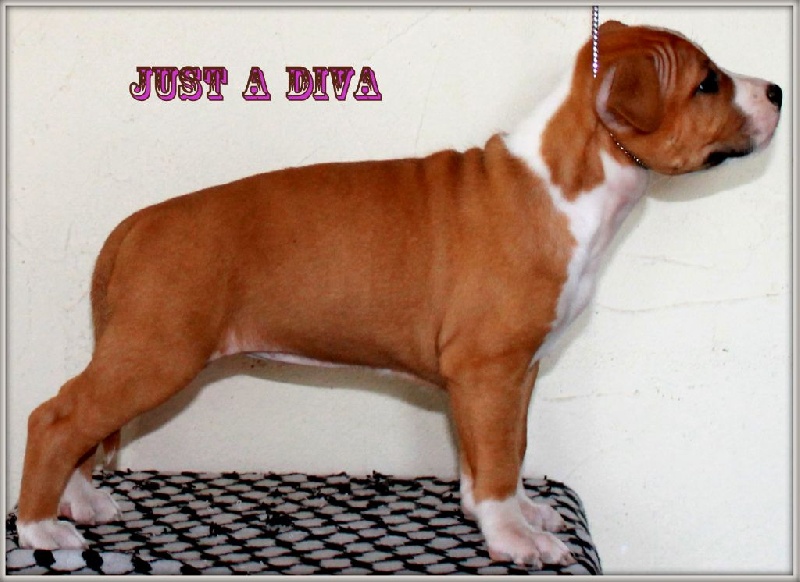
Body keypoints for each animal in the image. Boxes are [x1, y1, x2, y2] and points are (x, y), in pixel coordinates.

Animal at [17, 21, 781, 567]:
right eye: (708, 84)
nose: (775, 90)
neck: (569, 180)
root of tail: (137, 222)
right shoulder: (490, 369)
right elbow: (498, 460)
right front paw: (514, 539)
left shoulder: (508, 375)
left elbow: (501, 452)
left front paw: (510, 513)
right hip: (157, 349)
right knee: (55, 418)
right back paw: (38, 528)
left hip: (138, 350)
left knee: (78, 423)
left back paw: (78, 502)